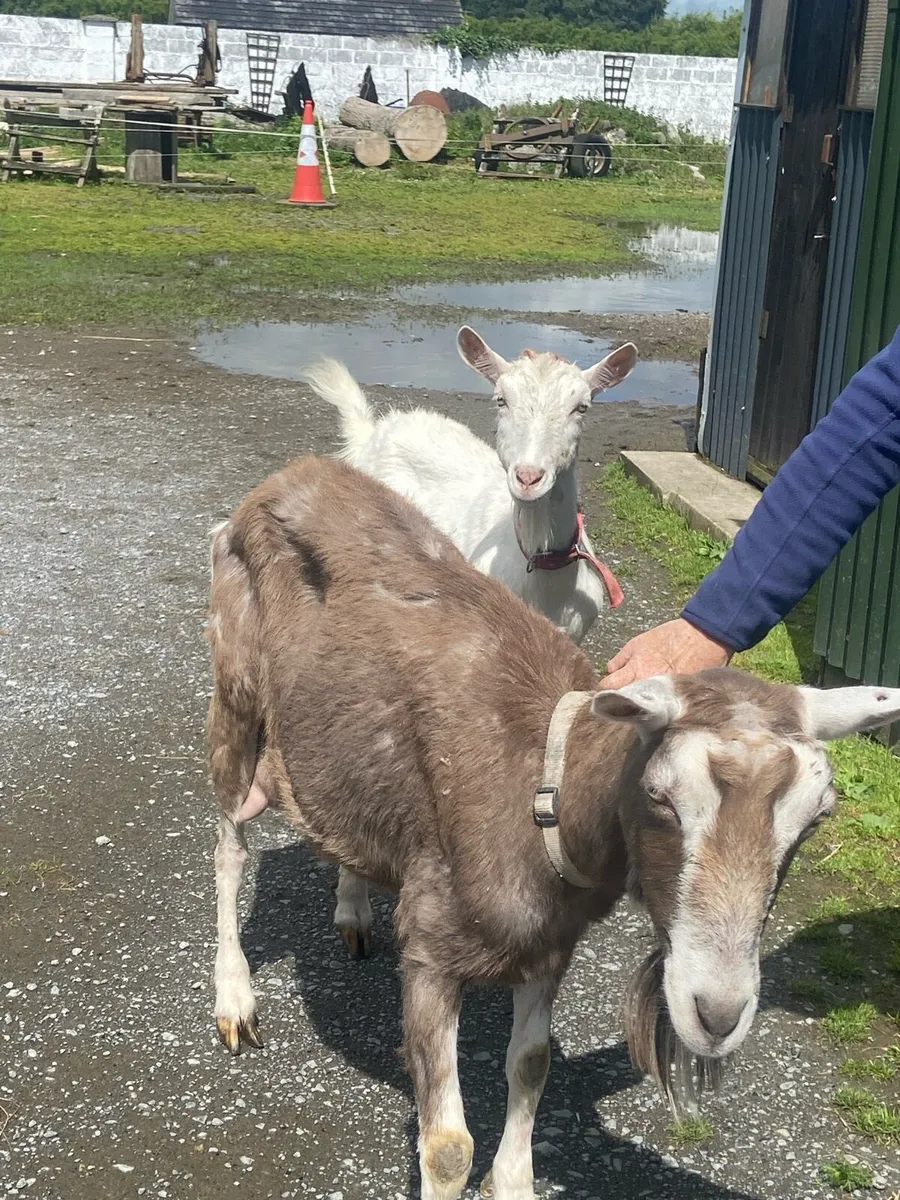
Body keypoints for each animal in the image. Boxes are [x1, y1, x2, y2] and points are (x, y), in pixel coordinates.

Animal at [207, 455, 900, 1200]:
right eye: (660, 797)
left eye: (816, 817)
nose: (716, 1017)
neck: (542, 789)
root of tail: (289, 476)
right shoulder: (429, 947)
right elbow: (446, 1147)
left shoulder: (550, 945)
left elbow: (531, 1064)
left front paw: (513, 1181)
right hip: (234, 694)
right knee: (228, 846)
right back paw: (235, 998)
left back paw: (352, 908)